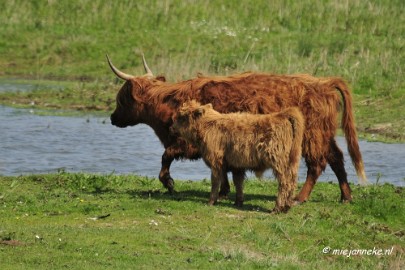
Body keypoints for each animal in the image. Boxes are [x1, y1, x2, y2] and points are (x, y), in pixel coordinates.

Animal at [170, 100, 304, 212]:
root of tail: (282, 115)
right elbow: (238, 183)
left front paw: (211, 201)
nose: (172, 127)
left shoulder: (216, 162)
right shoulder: (237, 165)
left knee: (285, 183)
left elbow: (215, 181)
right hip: (293, 161)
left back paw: (277, 208)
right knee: (292, 181)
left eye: (182, 117)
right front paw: (238, 202)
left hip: (278, 162)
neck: (208, 126)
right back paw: (287, 206)